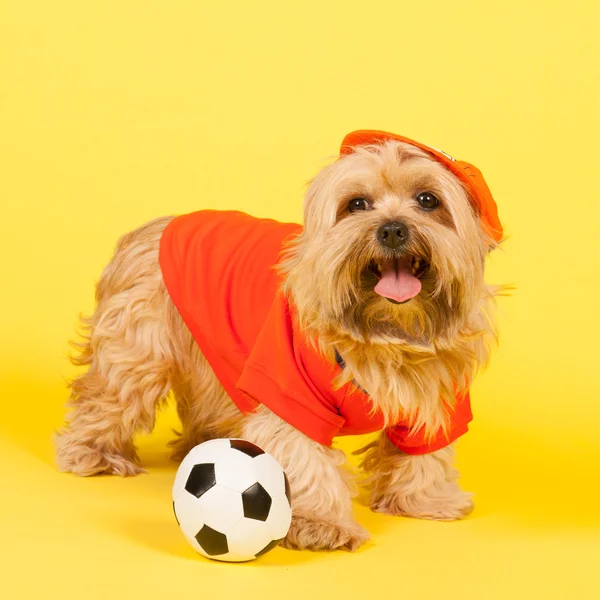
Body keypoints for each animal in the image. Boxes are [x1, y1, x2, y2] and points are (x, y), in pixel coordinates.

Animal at [55, 131, 502, 552]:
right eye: (356, 204)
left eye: (428, 200)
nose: (392, 229)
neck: (386, 334)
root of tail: (153, 228)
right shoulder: (289, 391)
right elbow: (303, 454)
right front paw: (320, 522)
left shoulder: (438, 394)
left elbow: (425, 452)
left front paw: (425, 500)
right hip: (138, 355)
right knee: (106, 398)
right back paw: (92, 453)